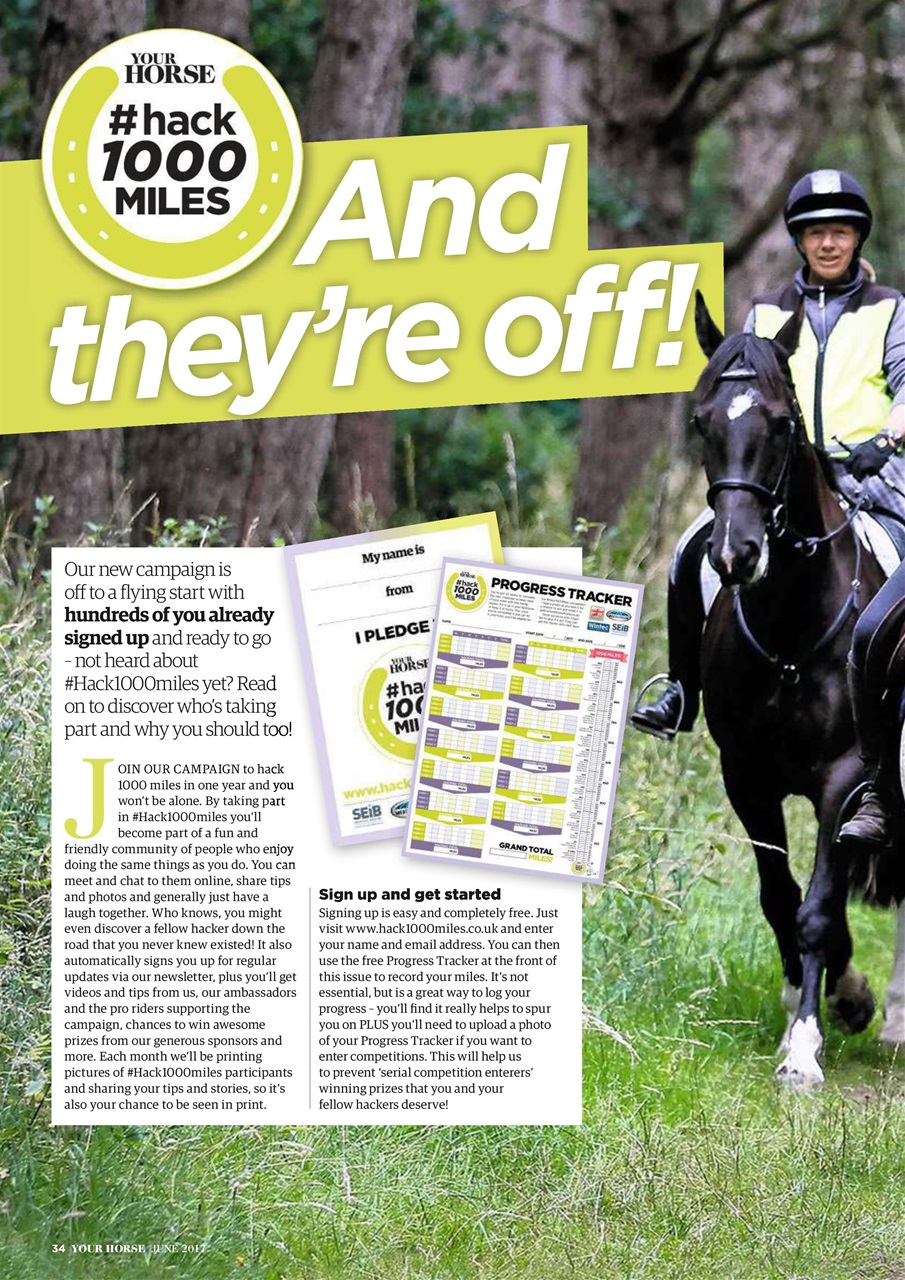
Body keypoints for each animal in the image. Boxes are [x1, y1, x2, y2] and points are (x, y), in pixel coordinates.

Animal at [692, 291, 902, 1087]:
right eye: (701, 421)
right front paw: (820, 998)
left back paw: (894, 1021)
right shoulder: (746, 777)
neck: (790, 624)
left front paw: (809, 1047)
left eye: (781, 424)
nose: (735, 554)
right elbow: (781, 899)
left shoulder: (845, 778)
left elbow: (816, 910)